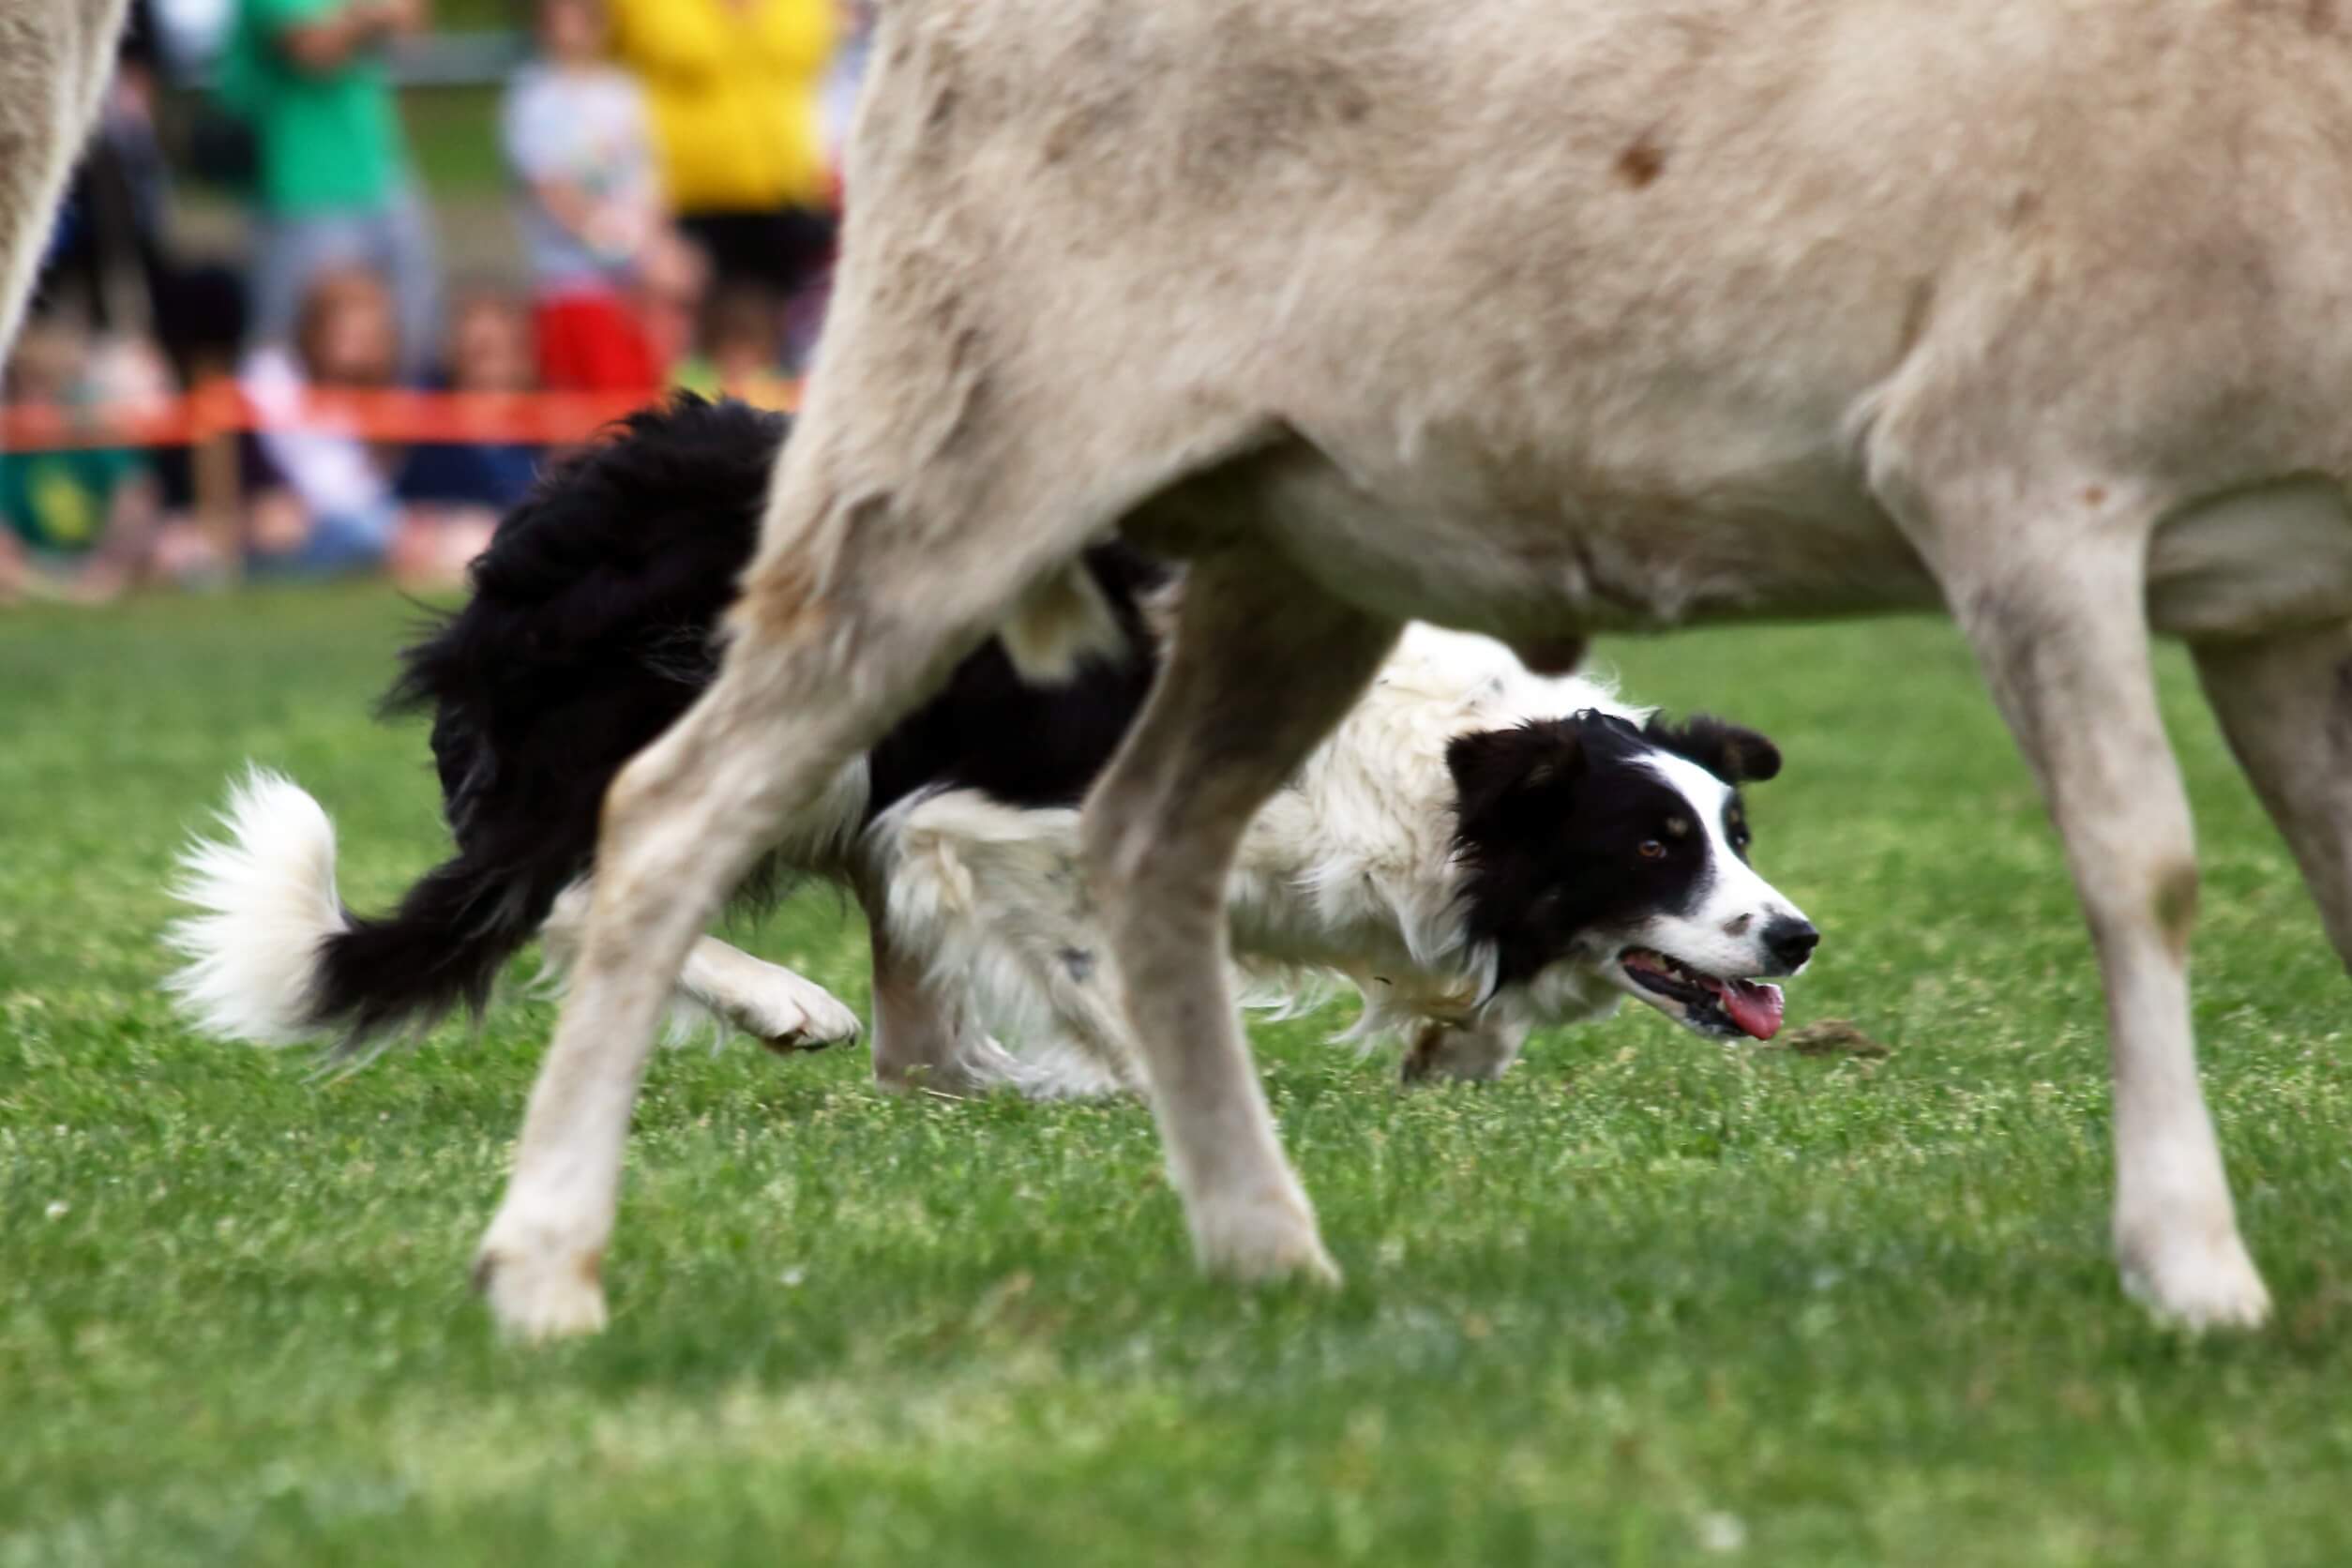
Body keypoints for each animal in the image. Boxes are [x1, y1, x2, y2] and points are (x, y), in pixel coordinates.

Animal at [170, 400, 1816, 1100]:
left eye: (1735, 833)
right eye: (1654, 845)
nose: (1796, 936)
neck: (1426, 765)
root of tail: (530, 537)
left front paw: (1449, 1042)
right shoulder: (989, 821)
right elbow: (1098, 974)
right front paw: (1153, 1086)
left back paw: (950, 1068)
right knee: (591, 884)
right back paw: (794, 1009)